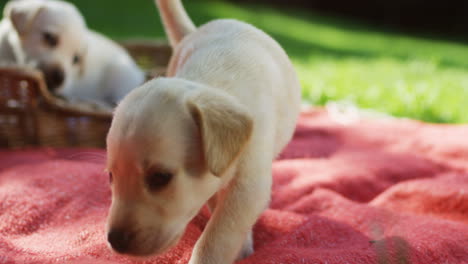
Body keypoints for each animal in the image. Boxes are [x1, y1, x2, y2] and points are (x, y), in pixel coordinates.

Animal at [105, 0, 302, 262]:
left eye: (160, 177)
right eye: (111, 176)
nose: (115, 241)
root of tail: (194, 30)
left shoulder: (249, 186)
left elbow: (219, 234)